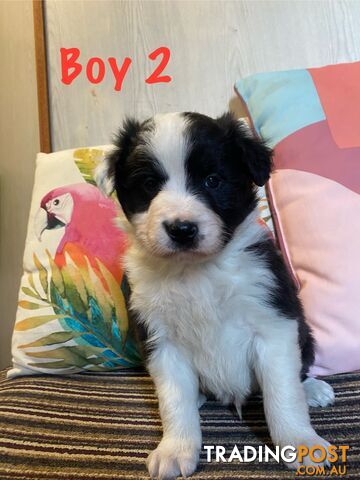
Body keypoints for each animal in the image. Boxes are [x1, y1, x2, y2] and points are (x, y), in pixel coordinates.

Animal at [95, 113, 334, 480]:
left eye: (212, 180)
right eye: (149, 184)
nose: (181, 229)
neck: (194, 271)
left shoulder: (273, 325)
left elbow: (282, 393)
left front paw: (300, 441)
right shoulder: (159, 338)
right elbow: (174, 400)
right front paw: (175, 448)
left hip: (304, 333)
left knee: (300, 369)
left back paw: (313, 388)